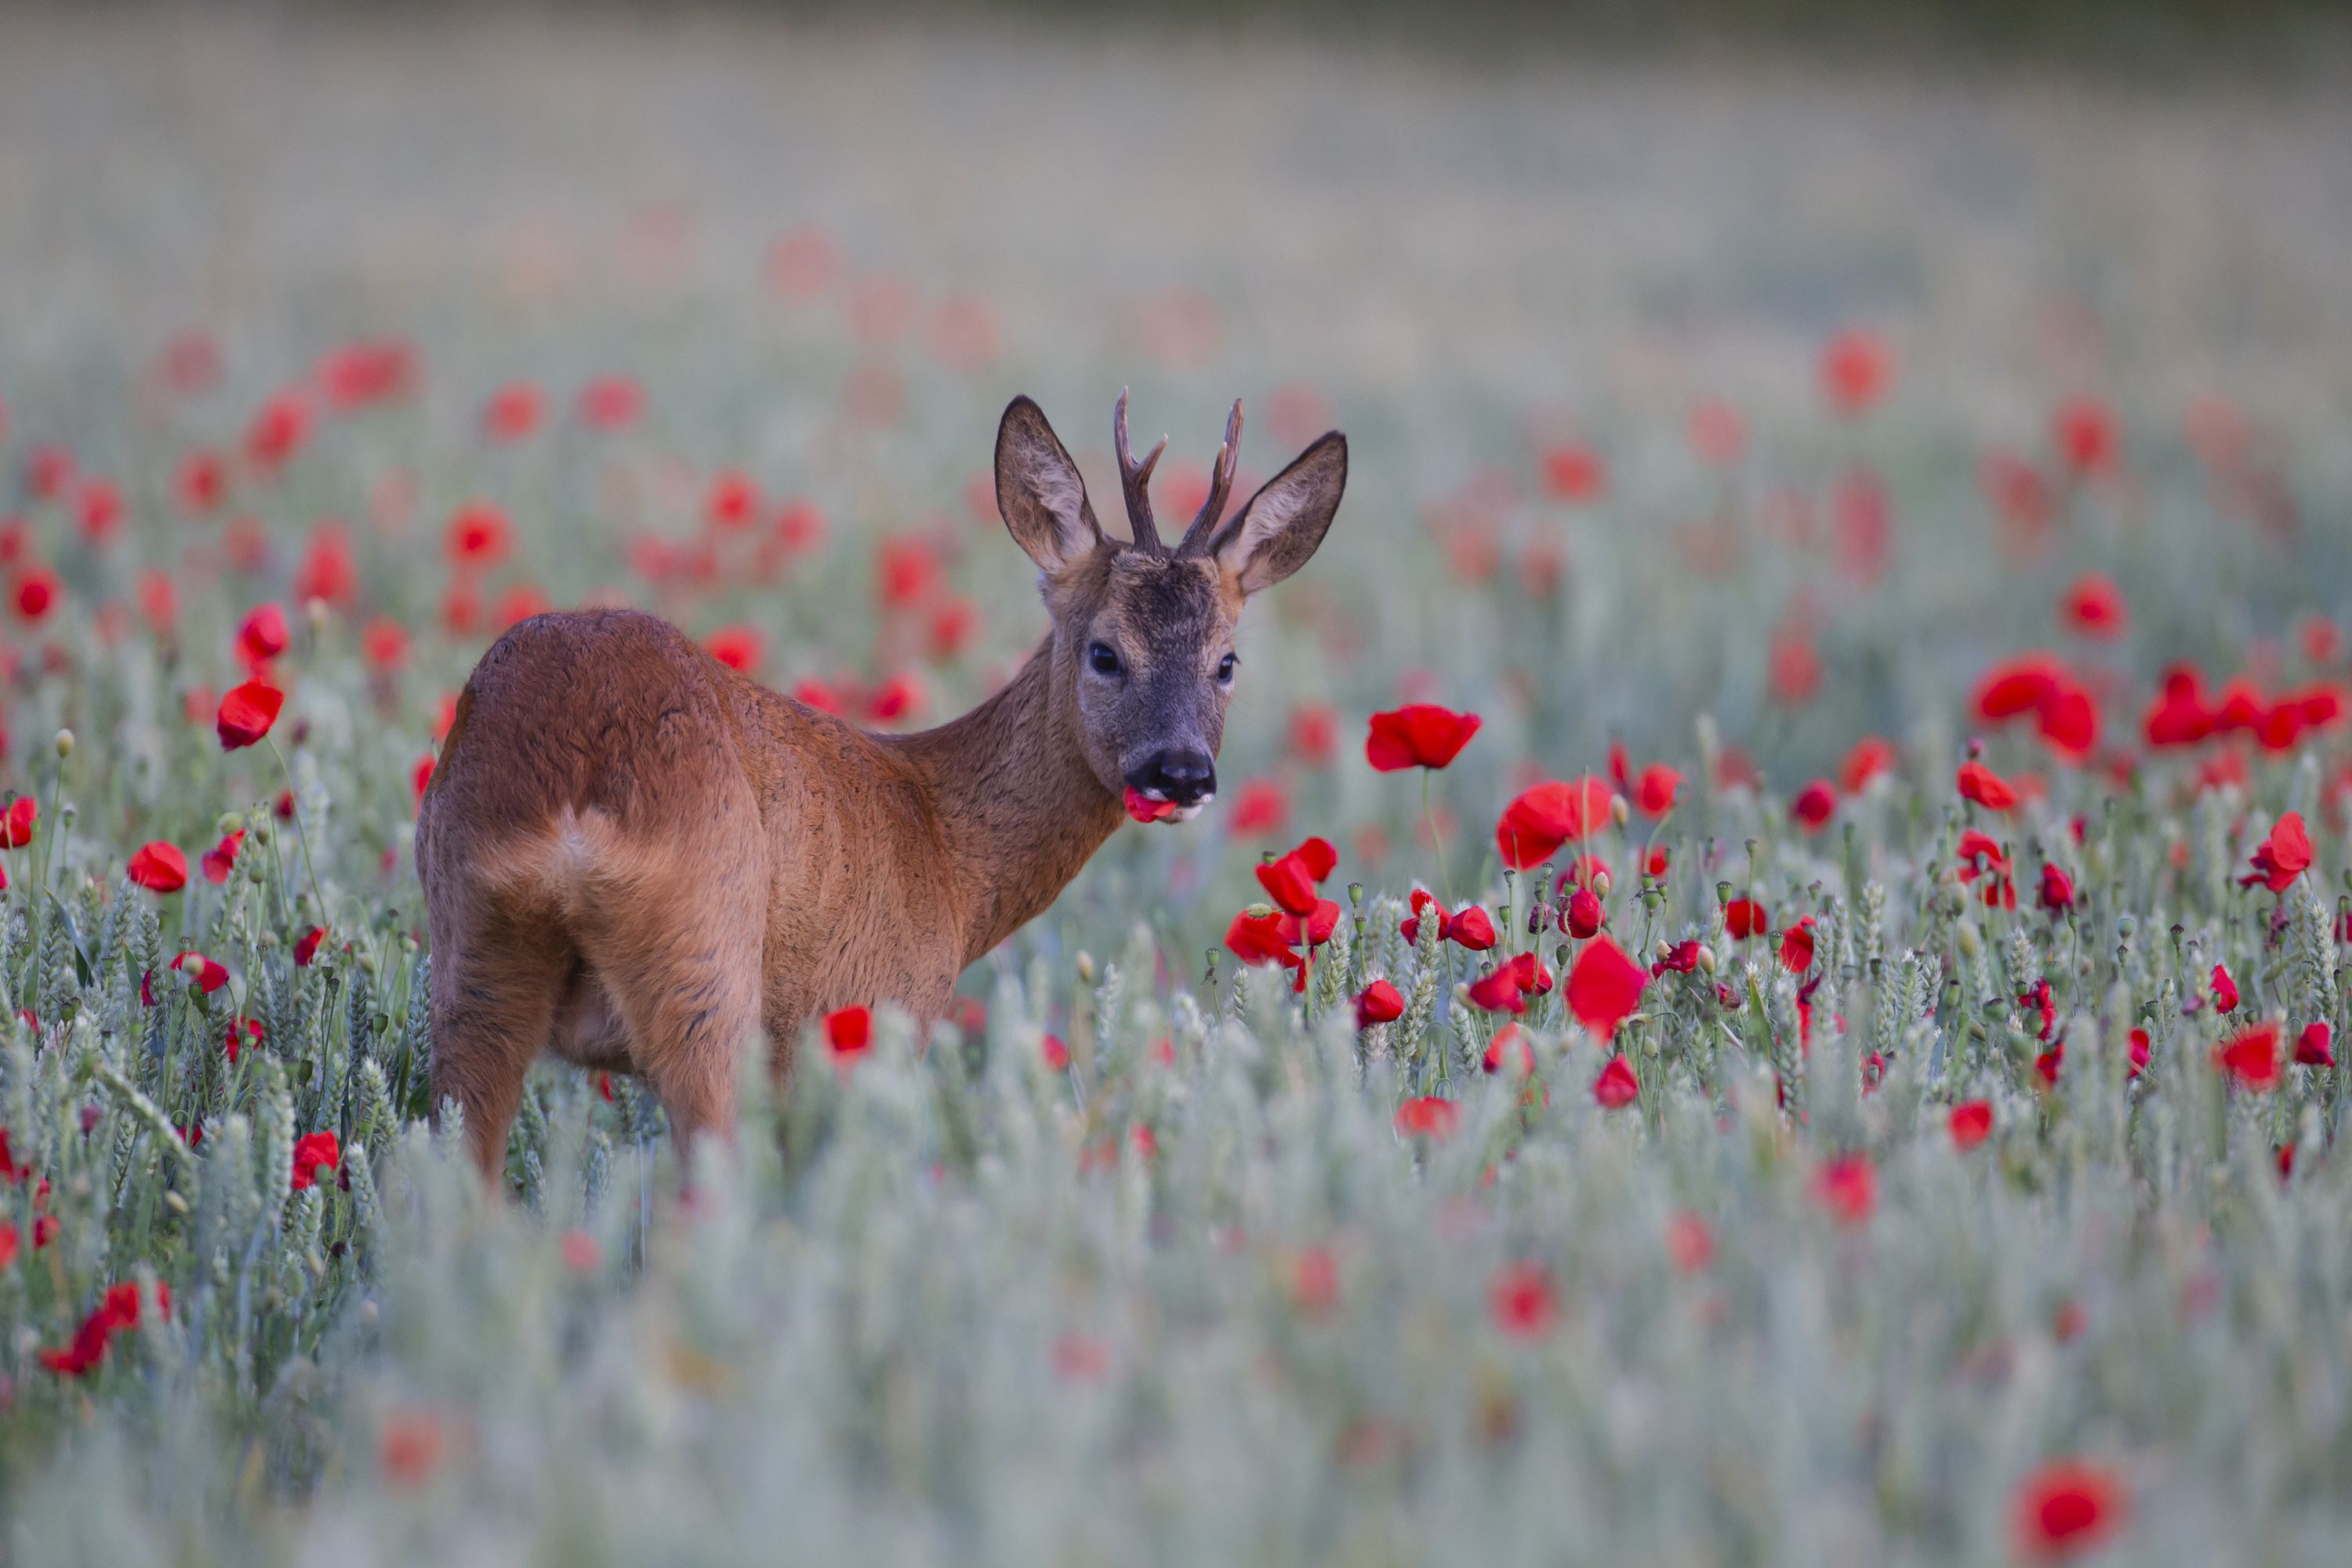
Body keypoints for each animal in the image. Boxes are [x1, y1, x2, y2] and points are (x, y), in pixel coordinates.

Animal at [419, 392, 1345, 1175]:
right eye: (1105, 652)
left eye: (1227, 661)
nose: (1180, 771)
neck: (947, 850)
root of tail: (572, 788)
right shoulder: (868, 1018)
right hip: (705, 975)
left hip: (472, 960)